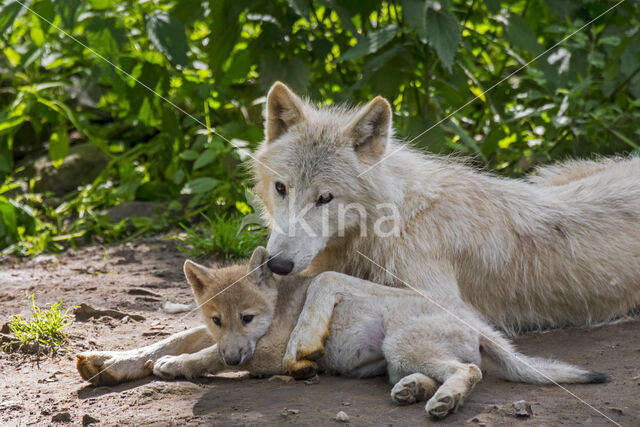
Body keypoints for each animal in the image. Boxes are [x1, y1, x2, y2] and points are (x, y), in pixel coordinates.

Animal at [252, 80, 640, 334]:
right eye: (281, 188)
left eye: (325, 198)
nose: (278, 264)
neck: (397, 219)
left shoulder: (447, 301)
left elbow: (331, 281)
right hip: (549, 176)